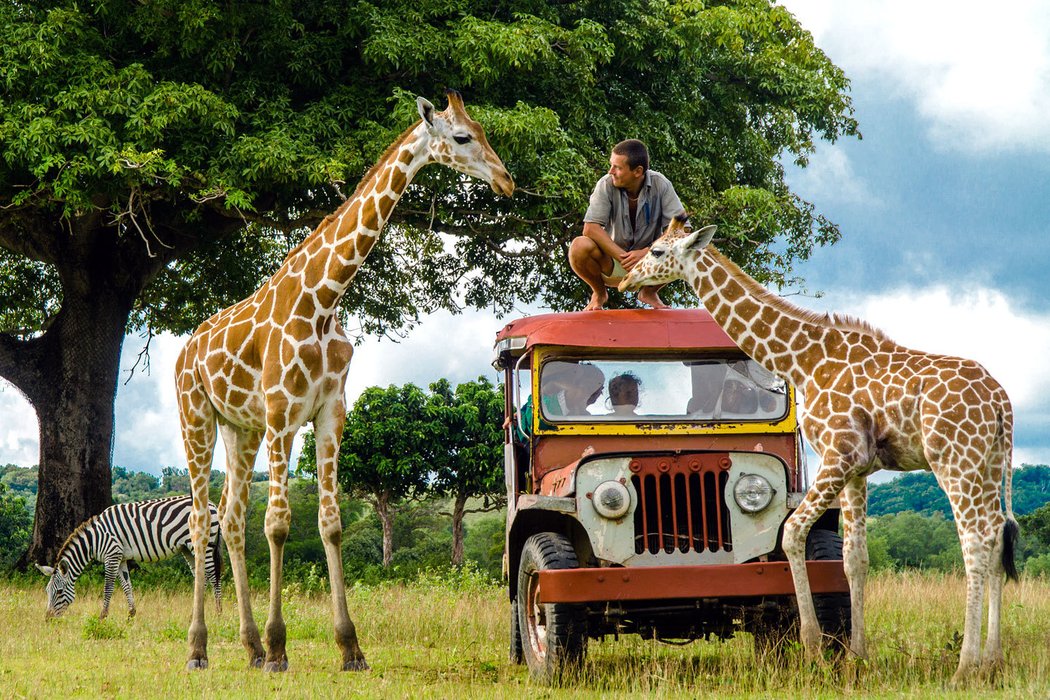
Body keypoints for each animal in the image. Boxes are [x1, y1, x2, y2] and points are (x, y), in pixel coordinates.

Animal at [37, 493, 223, 617]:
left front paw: (102, 616)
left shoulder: (111, 555)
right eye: (47, 591)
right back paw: (194, 615)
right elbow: (127, 585)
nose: (48, 619)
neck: (95, 539)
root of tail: (212, 504)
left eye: (60, 592)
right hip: (187, 548)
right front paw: (131, 614)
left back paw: (218, 612)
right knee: (201, 578)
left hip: (203, 544)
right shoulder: (121, 558)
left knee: (213, 577)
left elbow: (108, 587)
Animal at [175, 90, 512, 671]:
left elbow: (328, 522)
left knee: (232, 518)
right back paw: (200, 649)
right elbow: (279, 523)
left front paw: (349, 647)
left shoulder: (329, 412)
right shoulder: (282, 413)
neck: (324, 298)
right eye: (463, 136)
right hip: (196, 416)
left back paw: (248, 647)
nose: (506, 180)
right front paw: (282, 647)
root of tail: (184, 352)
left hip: (240, 428)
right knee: (201, 520)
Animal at [617, 215, 1020, 684]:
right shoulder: (859, 469)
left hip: (954, 459)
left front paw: (813, 648)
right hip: (988, 463)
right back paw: (993, 659)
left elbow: (792, 532)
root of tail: (1001, 402)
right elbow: (855, 558)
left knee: (975, 541)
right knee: (996, 537)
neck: (805, 363)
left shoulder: (838, 453)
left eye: (658, 251)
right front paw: (858, 655)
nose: (626, 278)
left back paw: (965, 666)